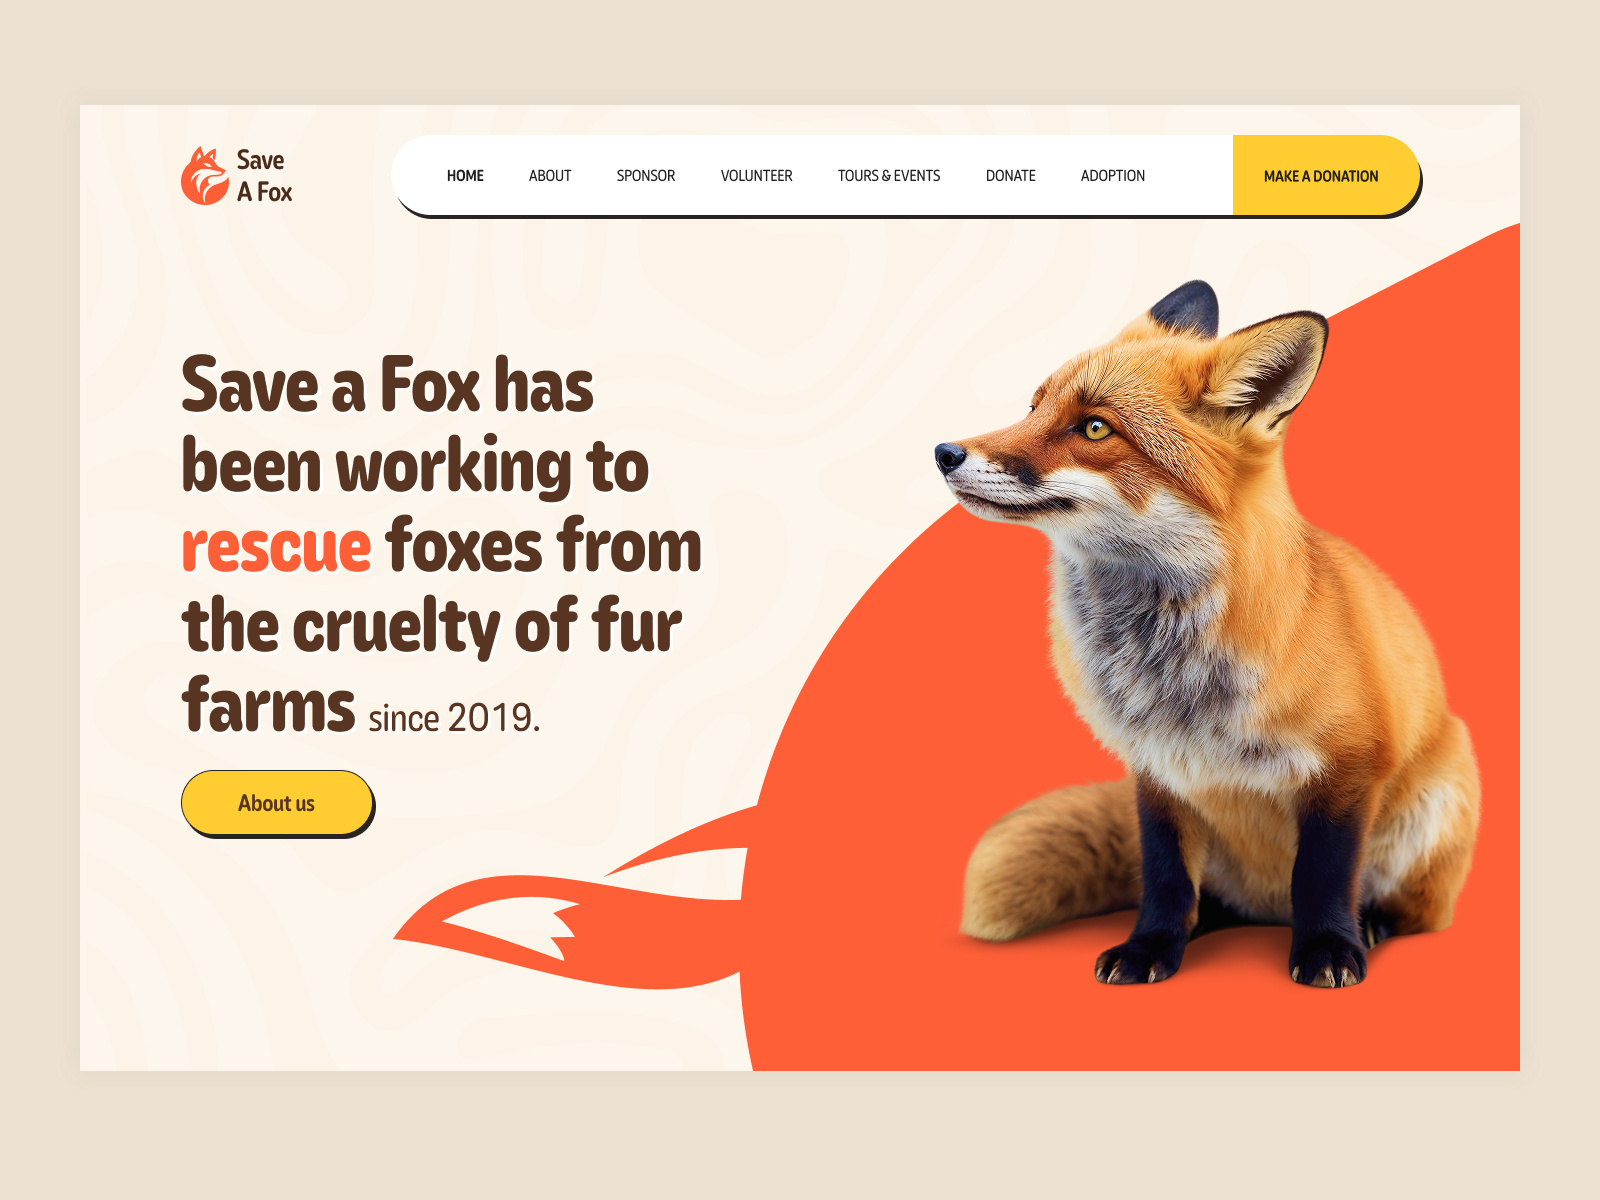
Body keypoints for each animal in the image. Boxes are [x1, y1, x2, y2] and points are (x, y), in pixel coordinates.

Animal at [937, 281, 1479, 988]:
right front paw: (1150, 948)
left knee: (1413, 909)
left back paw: (1372, 925)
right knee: (1210, 896)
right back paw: (1210, 922)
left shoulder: (1349, 767)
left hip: (1438, 803)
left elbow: (1324, 877)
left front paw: (1328, 949)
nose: (944, 453)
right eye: (1034, 407)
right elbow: (1166, 880)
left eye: (1094, 427)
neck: (1171, 673)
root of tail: (1265, 911)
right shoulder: (1157, 770)